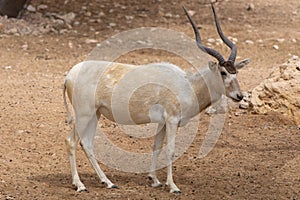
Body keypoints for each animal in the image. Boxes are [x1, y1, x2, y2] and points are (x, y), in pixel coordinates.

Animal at [62, 3, 248, 194]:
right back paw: (80, 185)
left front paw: (154, 179)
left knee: (87, 143)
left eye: (236, 72)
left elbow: (157, 146)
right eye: (223, 72)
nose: (239, 96)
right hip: (84, 114)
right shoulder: (172, 120)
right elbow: (170, 150)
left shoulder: (162, 122)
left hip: (95, 114)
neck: (188, 84)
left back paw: (107, 182)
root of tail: (69, 76)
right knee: (71, 142)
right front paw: (172, 186)